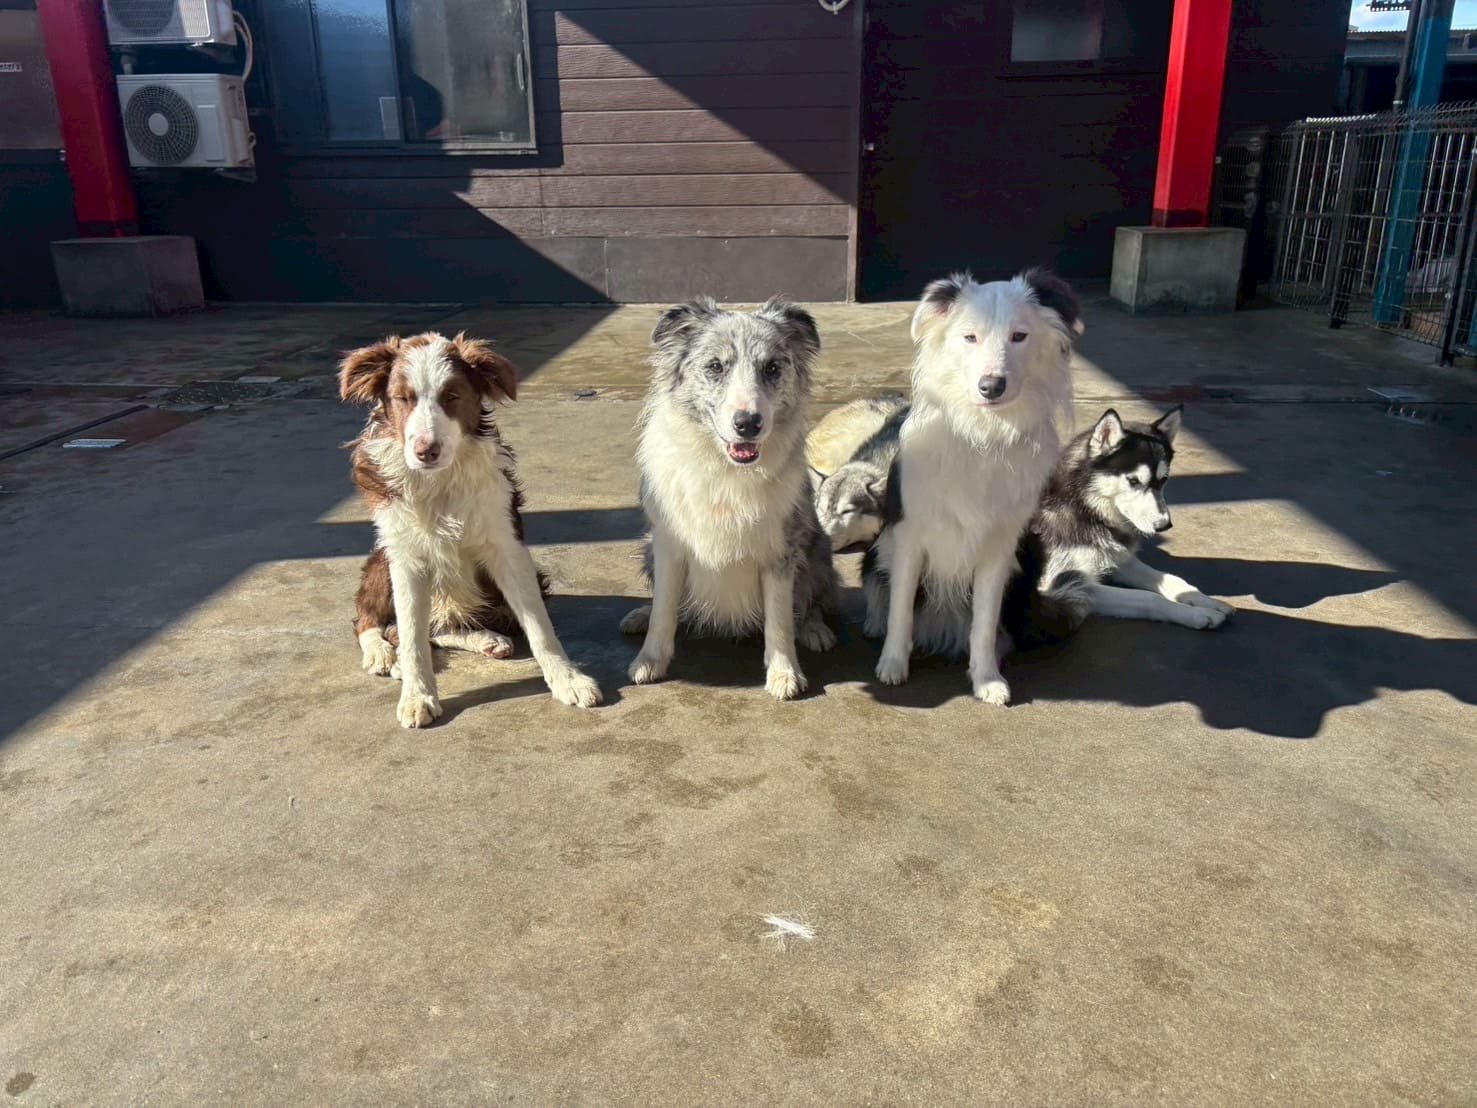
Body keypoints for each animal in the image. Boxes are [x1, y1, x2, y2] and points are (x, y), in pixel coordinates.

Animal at [340, 332, 602, 728]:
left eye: (452, 396)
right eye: (402, 398)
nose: (426, 451)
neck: (441, 482)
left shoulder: (506, 546)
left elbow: (539, 626)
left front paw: (568, 679)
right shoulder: (406, 556)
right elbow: (412, 635)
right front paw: (417, 695)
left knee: (441, 628)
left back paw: (487, 640)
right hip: (382, 557)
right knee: (371, 619)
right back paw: (384, 654)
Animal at [620, 297, 840, 700]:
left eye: (772, 368)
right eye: (715, 366)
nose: (748, 424)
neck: (725, 468)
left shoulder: (780, 549)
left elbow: (780, 619)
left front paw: (785, 674)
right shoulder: (667, 544)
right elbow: (664, 609)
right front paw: (650, 660)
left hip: (818, 549)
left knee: (810, 602)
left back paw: (815, 629)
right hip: (646, 549)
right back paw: (638, 616)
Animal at [864, 269, 1081, 705]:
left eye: (1019, 336)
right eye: (970, 337)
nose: (991, 386)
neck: (983, 433)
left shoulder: (1001, 544)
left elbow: (984, 621)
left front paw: (987, 679)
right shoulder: (908, 534)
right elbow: (900, 609)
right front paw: (893, 665)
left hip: (1029, 552)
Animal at [1001, 406, 1234, 645]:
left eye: (1163, 480)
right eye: (1133, 481)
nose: (1163, 525)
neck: (1084, 507)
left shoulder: (1116, 558)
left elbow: (1173, 579)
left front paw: (1207, 601)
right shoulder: (1060, 587)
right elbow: (1149, 598)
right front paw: (1197, 614)